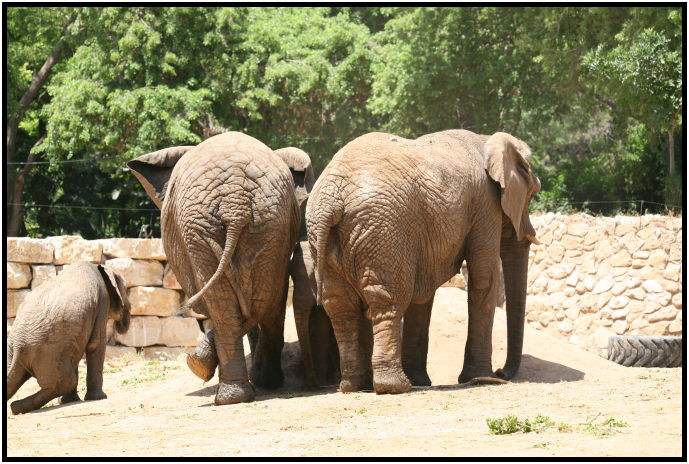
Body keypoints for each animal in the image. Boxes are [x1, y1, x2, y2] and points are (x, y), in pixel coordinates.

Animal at [6, 261, 130, 414]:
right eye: (126, 289)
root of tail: (18, 345)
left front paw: (70, 401)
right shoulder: (102, 301)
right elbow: (95, 344)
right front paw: (100, 398)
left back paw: (15, 408)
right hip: (48, 354)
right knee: (65, 382)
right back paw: (16, 407)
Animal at [128, 132, 309, 405]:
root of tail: (235, 202)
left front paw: (201, 362)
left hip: (224, 225)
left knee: (240, 300)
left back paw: (228, 386)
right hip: (260, 223)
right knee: (260, 297)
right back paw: (246, 388)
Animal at [305, 129, 541, 394]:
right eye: (533, 194)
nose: (501, 372)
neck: (487, 139)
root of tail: (332, 200)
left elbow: (423, 293)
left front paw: (422, 380)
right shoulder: (485, 205)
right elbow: (483, 277)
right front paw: (480, 378)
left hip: (325, 237)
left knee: (340, 306)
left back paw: (355, 385)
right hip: (384, 230)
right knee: (388, 299)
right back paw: (394, 386)